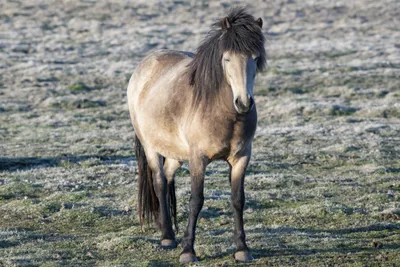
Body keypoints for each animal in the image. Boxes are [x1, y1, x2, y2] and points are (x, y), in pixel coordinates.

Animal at [126, 6, 268, 264]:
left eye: (255, 58)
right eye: (227, 58)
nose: (243, 103)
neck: (221, 111)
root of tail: (146, 63)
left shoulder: (242, 157)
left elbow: (238, 199)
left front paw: (242, 248)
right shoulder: (198, 159)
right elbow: (196, 200)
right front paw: (188, 251)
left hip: (175, 153)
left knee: (168, 178)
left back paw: (167, 229)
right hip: (151, 147)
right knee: (159, 182)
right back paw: (167, 237)